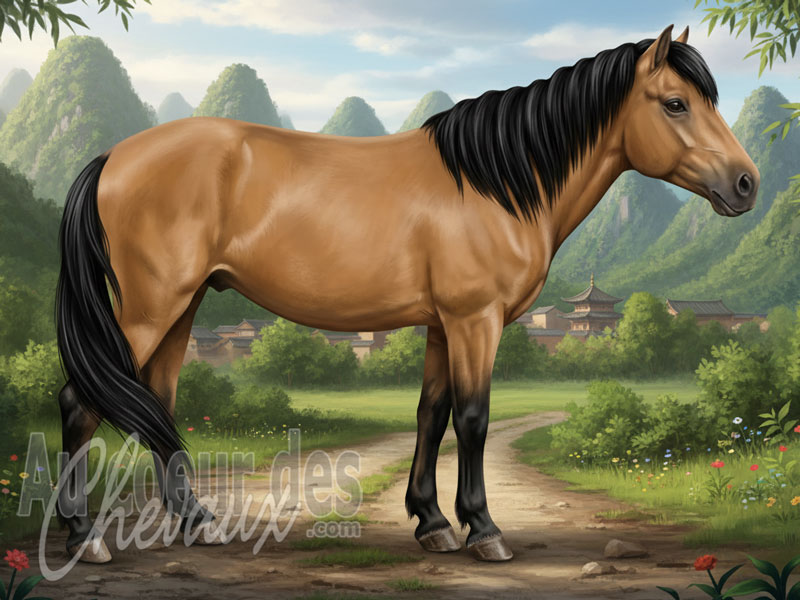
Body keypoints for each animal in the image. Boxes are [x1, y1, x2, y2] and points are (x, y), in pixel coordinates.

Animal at [55, 25, 758, 564]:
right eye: (675, 103)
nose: (746, 183)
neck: (493, 183)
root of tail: (113, 158)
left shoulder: (444, 324)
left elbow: (431, 413)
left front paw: (433, 522)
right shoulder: (476, 320)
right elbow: (472, 419)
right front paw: (484, 531)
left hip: (182, 307)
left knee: (158, 402)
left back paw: (197, 523)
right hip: (151, 308)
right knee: (79, 402)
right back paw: (85, 538)